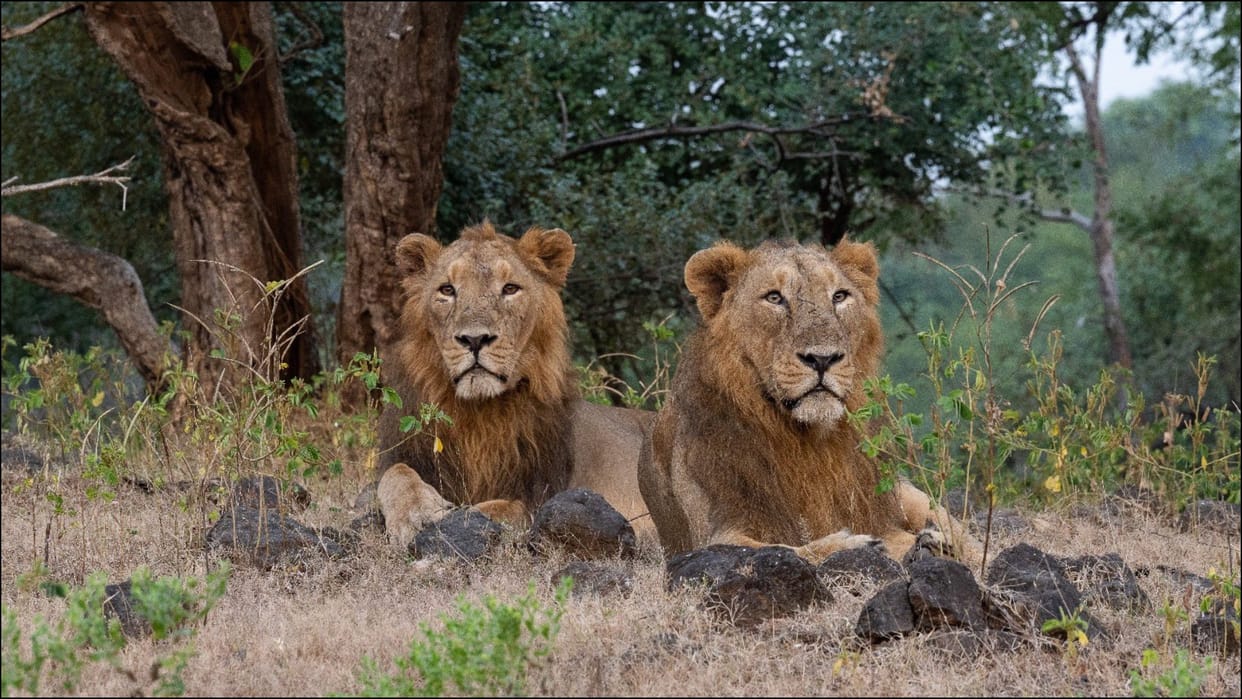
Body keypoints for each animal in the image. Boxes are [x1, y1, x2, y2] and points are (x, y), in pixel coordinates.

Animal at [375, 220, 653, 546]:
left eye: (510, 289)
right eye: (447, 289)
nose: (474, 339)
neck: (477, 413)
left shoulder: (540, 493)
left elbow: (501, 509)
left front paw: (456, 518)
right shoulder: (403, 454)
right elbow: (395, 474)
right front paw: (417, 512)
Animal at [637, 238, 979, 565]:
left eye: (839, 296)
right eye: (774, 298)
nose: (823, 358)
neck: (807, 441)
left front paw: (924, 545)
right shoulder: (715, 533)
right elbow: (784, 549)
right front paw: (857, 544)